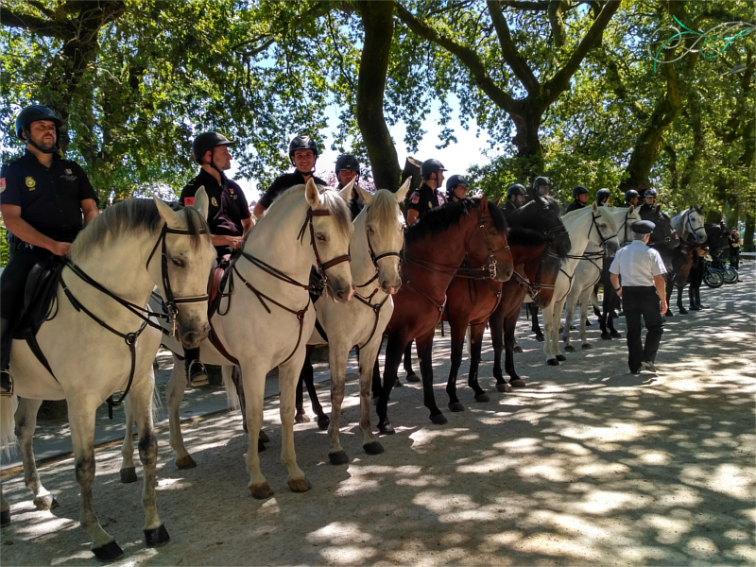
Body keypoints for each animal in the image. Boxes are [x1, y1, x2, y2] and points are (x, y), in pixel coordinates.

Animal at [0, 193, 216, 560]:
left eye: (213, 258)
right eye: (177, 260)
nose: (197, 332)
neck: (110, 306)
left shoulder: (141, 383)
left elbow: (148, 448)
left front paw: (153, 526)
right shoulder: (81, 400)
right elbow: (85, 466)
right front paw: (99, 538)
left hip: (33, 389)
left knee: (24, 431)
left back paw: (39, 492)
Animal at [128, 180, 352, 500]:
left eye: (349, 234)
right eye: (321, 236)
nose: (343, 290)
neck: (276, 288)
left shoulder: (293, 360)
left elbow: (286, 411)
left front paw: (294, 472)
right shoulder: (254, 366)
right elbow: (257, 415)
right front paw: (257, 478)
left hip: (181, 357)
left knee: (172, 397)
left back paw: (182, 454)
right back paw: (127, 467)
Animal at [302, 181, 408, 466]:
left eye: (402, 226)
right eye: (371, 229)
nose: (390, 281)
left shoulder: (372, 342)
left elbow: (365, 385)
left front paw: (369, 437)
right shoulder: (339, 345)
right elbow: (338, 391)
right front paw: (335, 446)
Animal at [372, 197, 512, 432]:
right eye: (493, 231)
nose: (508, 270)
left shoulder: (479, 321)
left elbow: (473, 354)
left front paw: (476, 388)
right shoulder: (458, 320)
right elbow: (456, 356)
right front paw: (453, 398)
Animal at [540, 206, 636, 366]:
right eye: (633, 225)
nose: (615, 249)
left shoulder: (588, 289)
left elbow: (585, 313)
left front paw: (586, 340)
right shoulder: (576, 291)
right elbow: (571, 314)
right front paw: (567, 343)